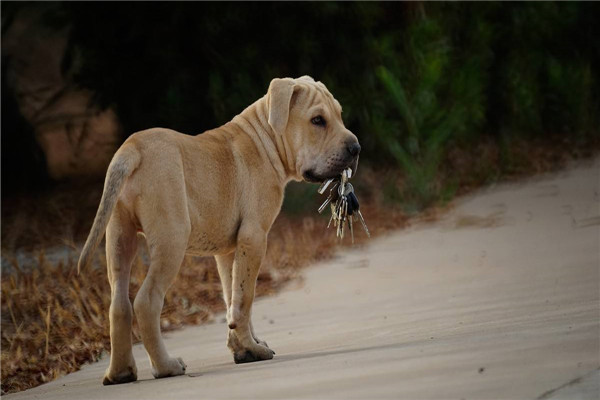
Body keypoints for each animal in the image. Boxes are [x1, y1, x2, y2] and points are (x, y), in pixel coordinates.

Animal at [79, 75, 360, 384]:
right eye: (317, 120)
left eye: (339, 115)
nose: (356, 148)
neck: (266, 139)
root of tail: (132, 148)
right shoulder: (254, 237)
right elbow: (245, 298)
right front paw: (251, 348)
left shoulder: (229, 251)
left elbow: (233, 298)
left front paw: (244, 347)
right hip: (171, 241)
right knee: (146, 301)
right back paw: (166, 366)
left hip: (118, 237)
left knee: (119, 305)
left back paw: (120, 373)